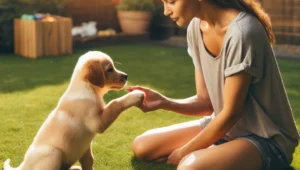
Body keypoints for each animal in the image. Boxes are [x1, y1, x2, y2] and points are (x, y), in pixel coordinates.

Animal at [4, 50, 145, 170]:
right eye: (109, 69)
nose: (126, 76)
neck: (87, 87)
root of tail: (23, 165)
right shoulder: (97, 122)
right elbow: (115, 103)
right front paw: (136, 95)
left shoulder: (86, 149)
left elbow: (89, 162)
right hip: (53, 153)